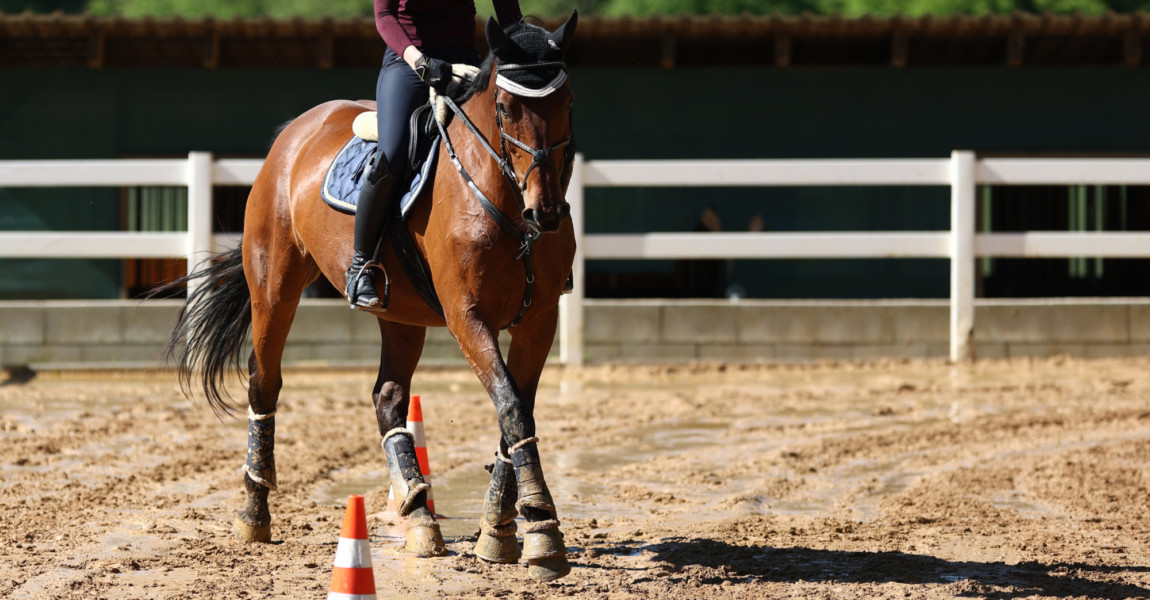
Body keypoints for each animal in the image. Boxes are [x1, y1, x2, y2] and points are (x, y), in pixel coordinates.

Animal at [158, 14, 579, 577]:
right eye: (507, 107)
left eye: (567, 103)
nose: (546, 212)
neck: (506, 205)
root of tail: (296, 131)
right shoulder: (468, 316)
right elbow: (511, 405)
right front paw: (542, 529)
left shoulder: (540, 319)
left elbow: (517, 411)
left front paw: (500, 530)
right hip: (275, 286)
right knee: (264, 383)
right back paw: (254, 511)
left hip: (400, 313)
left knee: (388, 397)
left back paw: (419, 516)